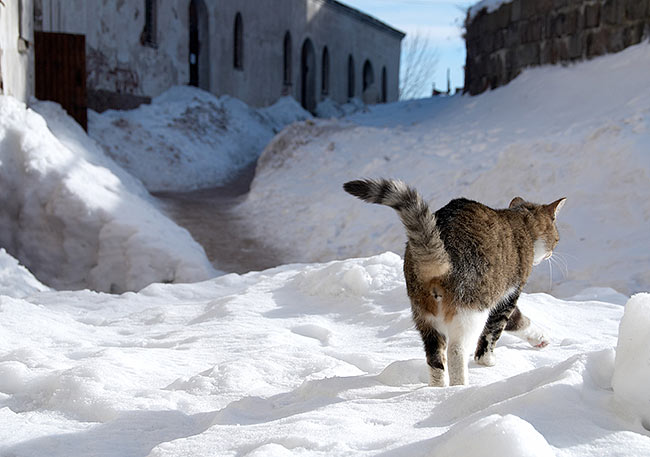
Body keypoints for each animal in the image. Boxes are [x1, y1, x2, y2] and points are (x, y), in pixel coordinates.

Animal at [344, 178, 560, 384]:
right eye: (557, 239)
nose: (552, 253)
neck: (521, 222)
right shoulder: (507, 295)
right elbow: (495, 330)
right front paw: (487, 361)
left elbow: (517, 321)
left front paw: (540, 339)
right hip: (471, 310)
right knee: (456, 351)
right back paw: (460, 387)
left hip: (424, 314)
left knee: (434, 358)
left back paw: (437, 390)